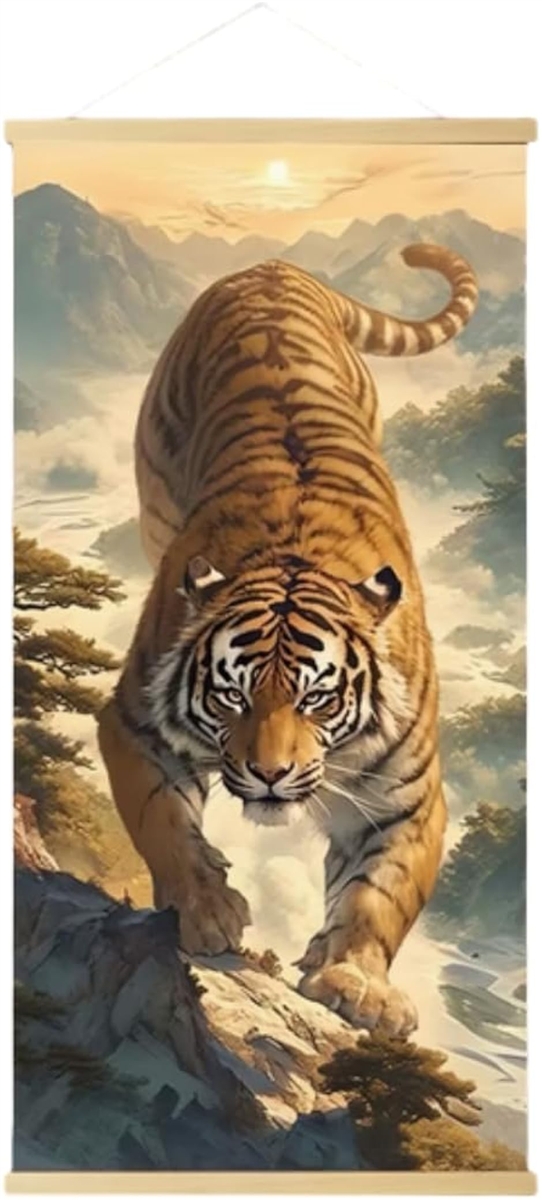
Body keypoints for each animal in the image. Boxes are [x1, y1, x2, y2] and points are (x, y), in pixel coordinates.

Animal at [97, 245, 478, 1036]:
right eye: (232, 696)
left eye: (318, 700)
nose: (270, 774)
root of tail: (272, 267)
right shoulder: (133, 724)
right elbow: (162, 821)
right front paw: (206, 909)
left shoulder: (409, 795)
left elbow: (382, 893)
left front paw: (359, 982)